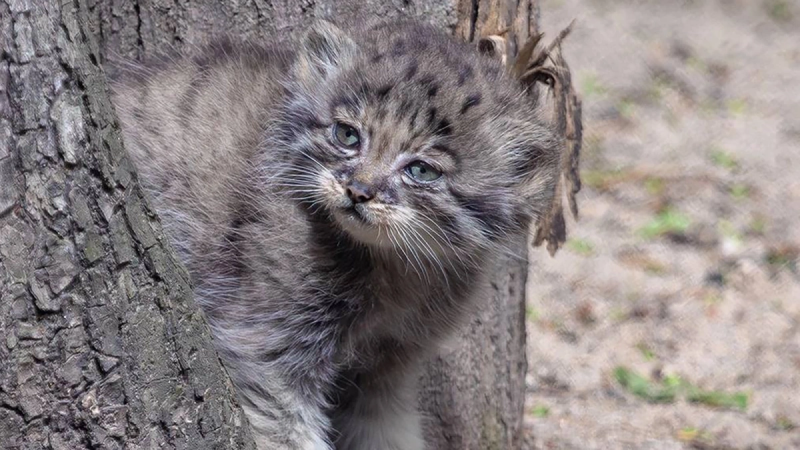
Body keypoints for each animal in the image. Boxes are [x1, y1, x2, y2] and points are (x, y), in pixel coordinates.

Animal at [111, 18, 564, 450]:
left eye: (421, 171)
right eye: (347, 135)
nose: (358, 191)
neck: (394, 271)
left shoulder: (389, 365)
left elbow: (388, 434)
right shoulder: (266, 346)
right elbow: (287, 433)